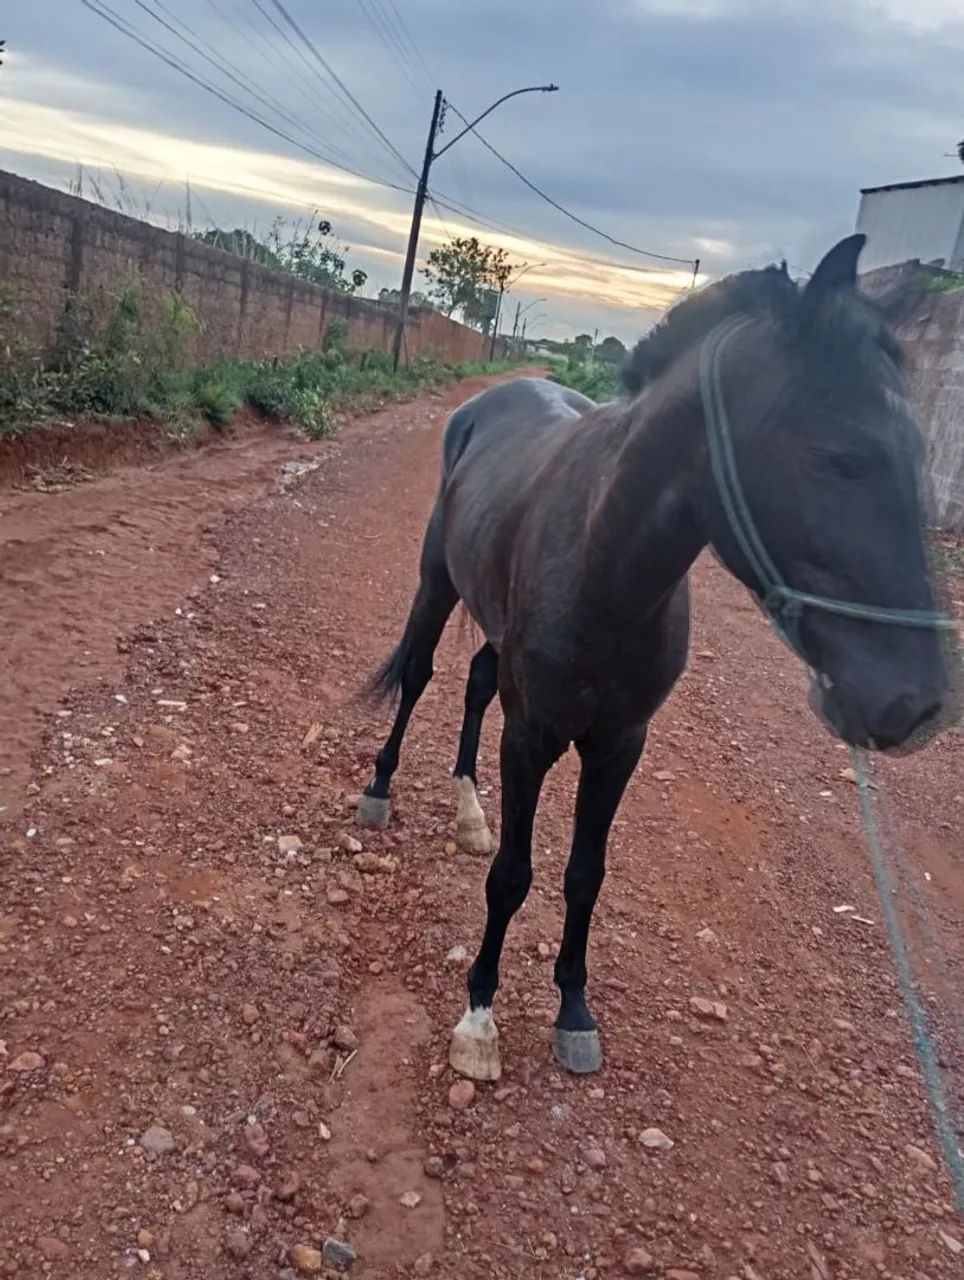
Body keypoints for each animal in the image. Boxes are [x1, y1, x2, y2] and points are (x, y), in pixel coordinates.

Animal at [358, 234, 949, 1081]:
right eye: (841, 456)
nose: (916, 705)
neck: (604, 562)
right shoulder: (532, 735)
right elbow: (512, 877)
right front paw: (479, 1017)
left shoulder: (619, 745)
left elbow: (585, 876)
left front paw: (573, 1009)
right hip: (437, 584)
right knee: (418, 678)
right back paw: (379, 788)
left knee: (474, 687)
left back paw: (470, 809)